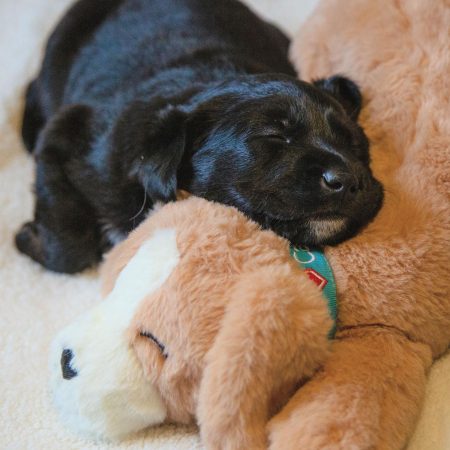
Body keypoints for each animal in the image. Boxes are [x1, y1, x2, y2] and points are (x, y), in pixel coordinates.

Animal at [17, 0, 384, 272]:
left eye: (354, 144)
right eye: (274, 136)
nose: (349, 180)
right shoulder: (67, 132)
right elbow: (69, 242)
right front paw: (29, 239)